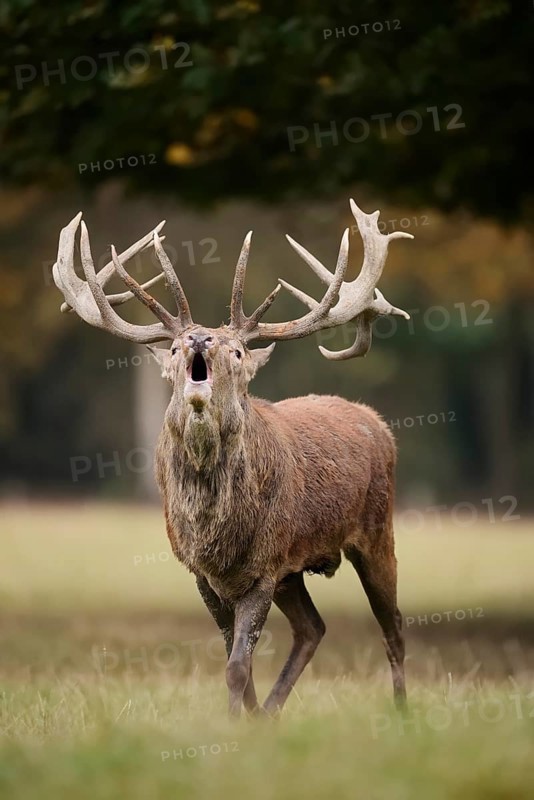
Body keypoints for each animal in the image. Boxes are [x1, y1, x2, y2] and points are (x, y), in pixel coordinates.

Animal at [53, 199, 413, 718]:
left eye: (238, 350)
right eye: (176, 346)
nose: (200, 339)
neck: (215, 528)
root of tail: (378, 422)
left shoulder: (264, 563)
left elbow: (238, 666)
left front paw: (234, 725)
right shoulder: (205, 573)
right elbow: (234, 660)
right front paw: (246, 719)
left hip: (375, 530)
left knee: (393, 625)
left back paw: (403, 711)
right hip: (294, 571)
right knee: (313, 627)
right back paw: (272, 714)